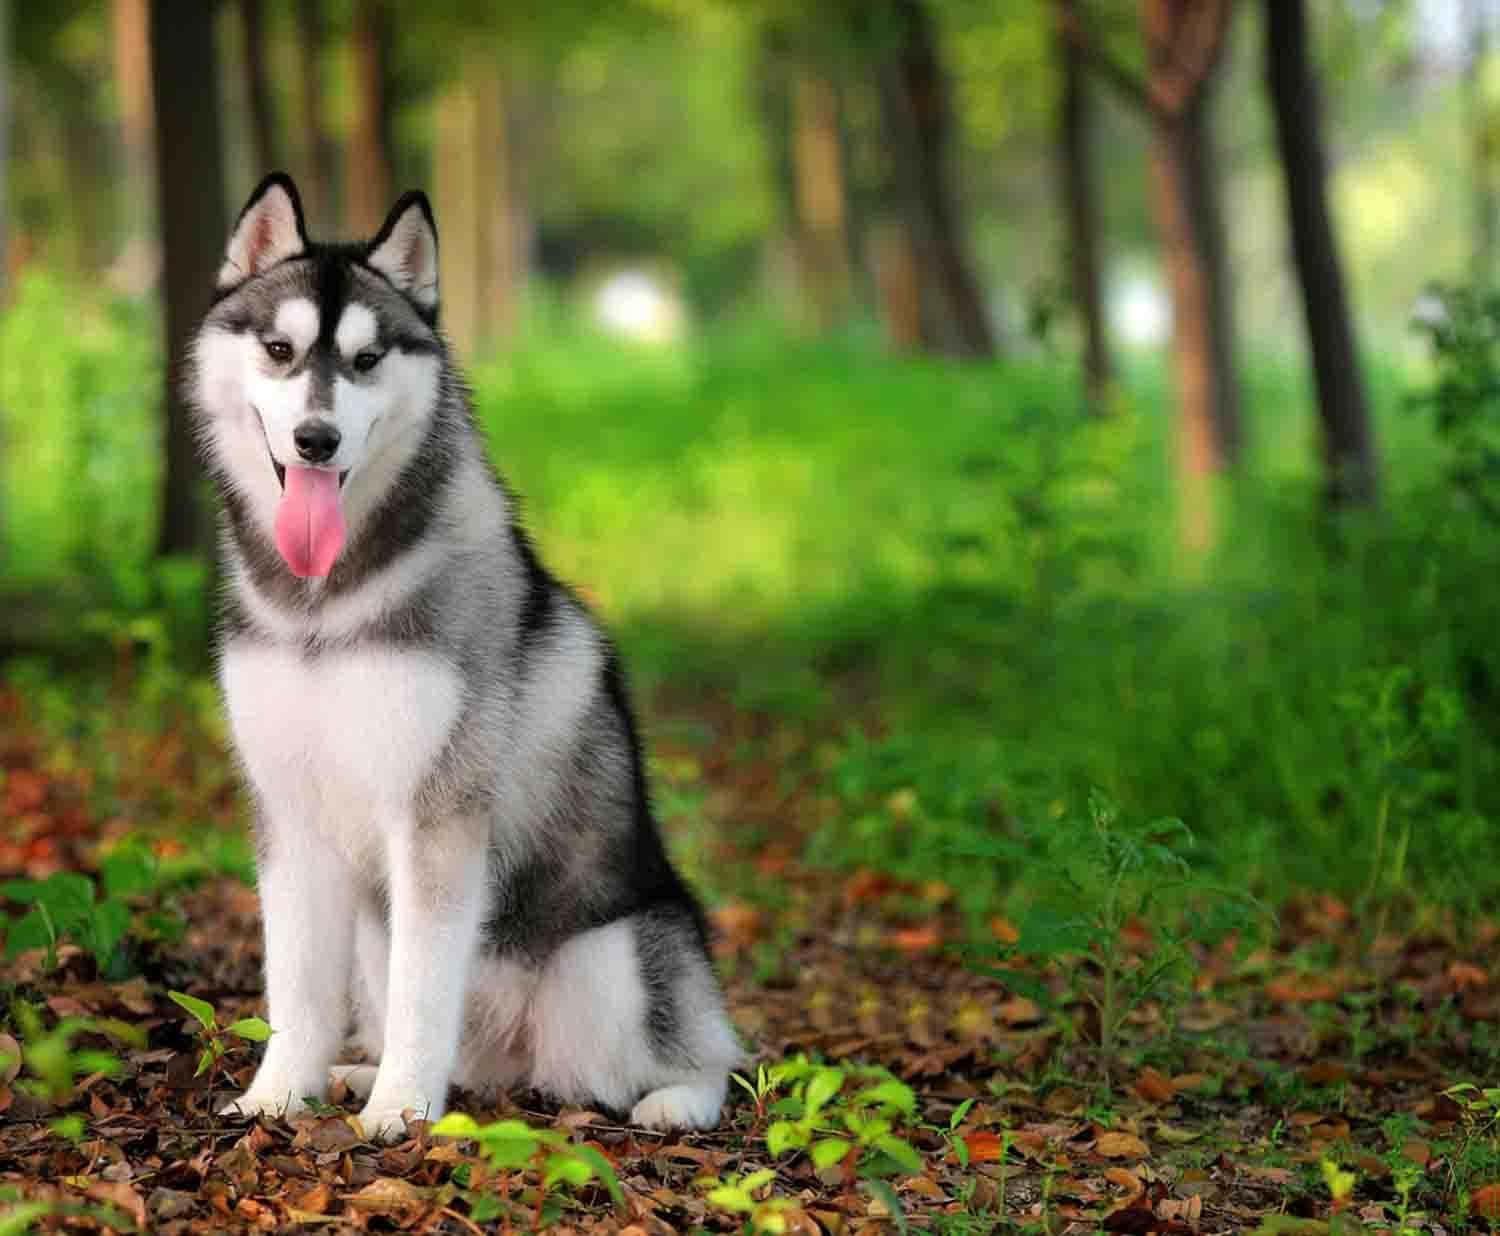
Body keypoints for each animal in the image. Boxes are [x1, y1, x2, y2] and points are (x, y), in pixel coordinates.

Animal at [193, 171, 744, 1140]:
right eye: (279, 349)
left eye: (368, 360)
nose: (316, 440)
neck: (321, 603)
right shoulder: (289, 810)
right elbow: (294, 985)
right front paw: (279, 1095)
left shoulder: (438, 814)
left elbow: (424, 988)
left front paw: (401, 1111)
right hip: (380, 932)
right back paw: (358, 1072)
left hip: (613, 960)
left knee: (711, 1059)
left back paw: (675, 1099)